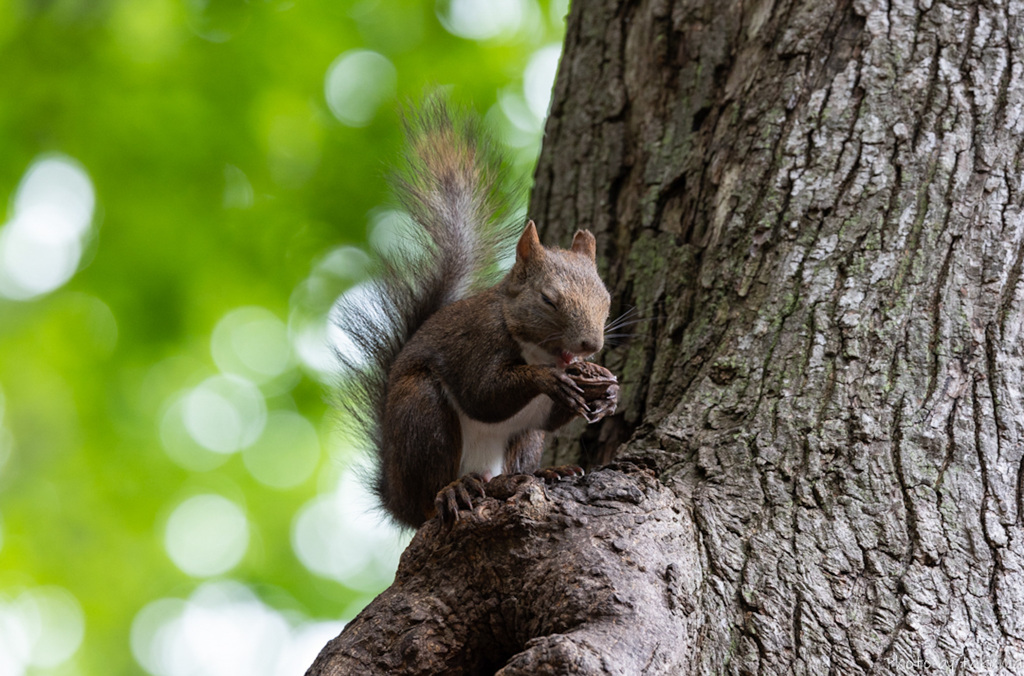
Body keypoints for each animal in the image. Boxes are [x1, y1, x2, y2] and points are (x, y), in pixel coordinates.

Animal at [335, 100, 618, 532]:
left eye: (606, 300)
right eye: (548, 300)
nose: (591, 344)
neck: (536, 348)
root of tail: (396, 498)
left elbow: (551, 419)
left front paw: (606, 389)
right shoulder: (478, 342)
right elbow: (484, 395)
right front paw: (548, 379)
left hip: (522, 439)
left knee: (519, 457)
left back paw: (544, 472)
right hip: (422, 416)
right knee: (430, 495)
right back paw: (451, 491)